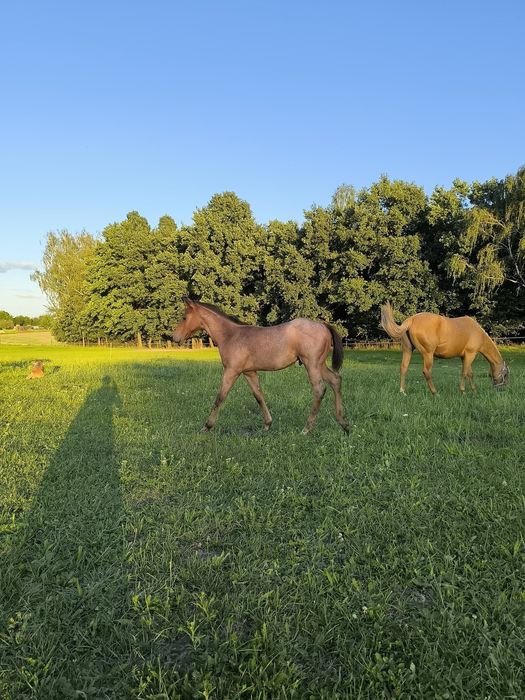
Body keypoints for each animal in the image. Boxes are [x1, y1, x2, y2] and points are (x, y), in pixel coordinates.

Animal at [172, 298, 350, 434]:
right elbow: (258, 396)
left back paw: (307, 429)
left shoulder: (231, 371)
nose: (174, 337)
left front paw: (207, 426)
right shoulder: (249, 372)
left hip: (311, 364)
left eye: (184, 317)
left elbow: (220, 397)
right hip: (320, 365)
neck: (230, 335)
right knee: (336, 380)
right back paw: (344, 424)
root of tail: (323, 325)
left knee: (319, 389)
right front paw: (267, 424)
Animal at [380, 302, 509, 395]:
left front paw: (474, 391)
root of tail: (411, 320)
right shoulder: (470, 354)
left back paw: (403, 391)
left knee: (403, 368)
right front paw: (463, 391)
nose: (502, 390)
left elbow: (469, 373)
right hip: (428, 354)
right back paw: (435, 393)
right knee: (426, 372)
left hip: (408, 351)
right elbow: (464, 372)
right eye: (506, 374)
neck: (477, 332)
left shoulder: (465, 356)